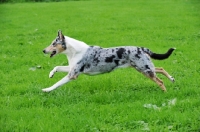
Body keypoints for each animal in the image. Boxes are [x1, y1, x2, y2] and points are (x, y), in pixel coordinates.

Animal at [42, 30, 175, 93]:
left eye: (53, 44)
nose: (43, 50)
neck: (74, 52)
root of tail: (142, 48)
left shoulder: (72, 74)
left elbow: (57, 83)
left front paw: (46, 90)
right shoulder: (71, 69)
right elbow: (57, 67)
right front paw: (50, 74)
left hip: (144, 69)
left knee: (160, 81)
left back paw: (165, 94)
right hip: (143, 67)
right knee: (160, 69)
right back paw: (172, 78)